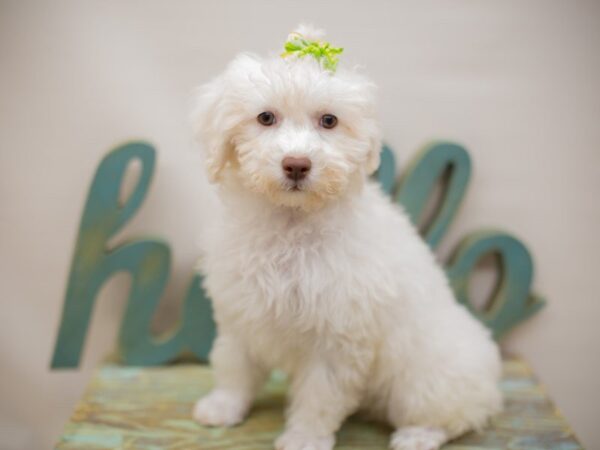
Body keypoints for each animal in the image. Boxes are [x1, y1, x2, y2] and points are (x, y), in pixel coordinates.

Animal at [192, 24, 502, 450]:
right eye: (265, 117)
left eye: (329, 120)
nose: (297, 164)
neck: (290, 224)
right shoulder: (241, 311)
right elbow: (234, 363)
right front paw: (224, 406)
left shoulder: (337, 335)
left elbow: (319, 395)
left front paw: (304, 437)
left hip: (427, 372)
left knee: (455, 412)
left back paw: (418, 435)